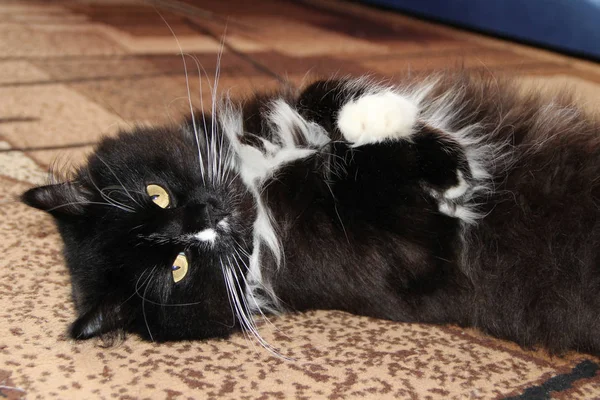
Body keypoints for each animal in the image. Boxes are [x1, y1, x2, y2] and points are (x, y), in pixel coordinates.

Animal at [21, 69, 600, 356]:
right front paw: (449, 166)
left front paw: (380, 112)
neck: (257, 188)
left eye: (157, 194)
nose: (206, 218)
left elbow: (322, 91)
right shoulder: (415, 248)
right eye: (178, 268)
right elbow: (387, 183)